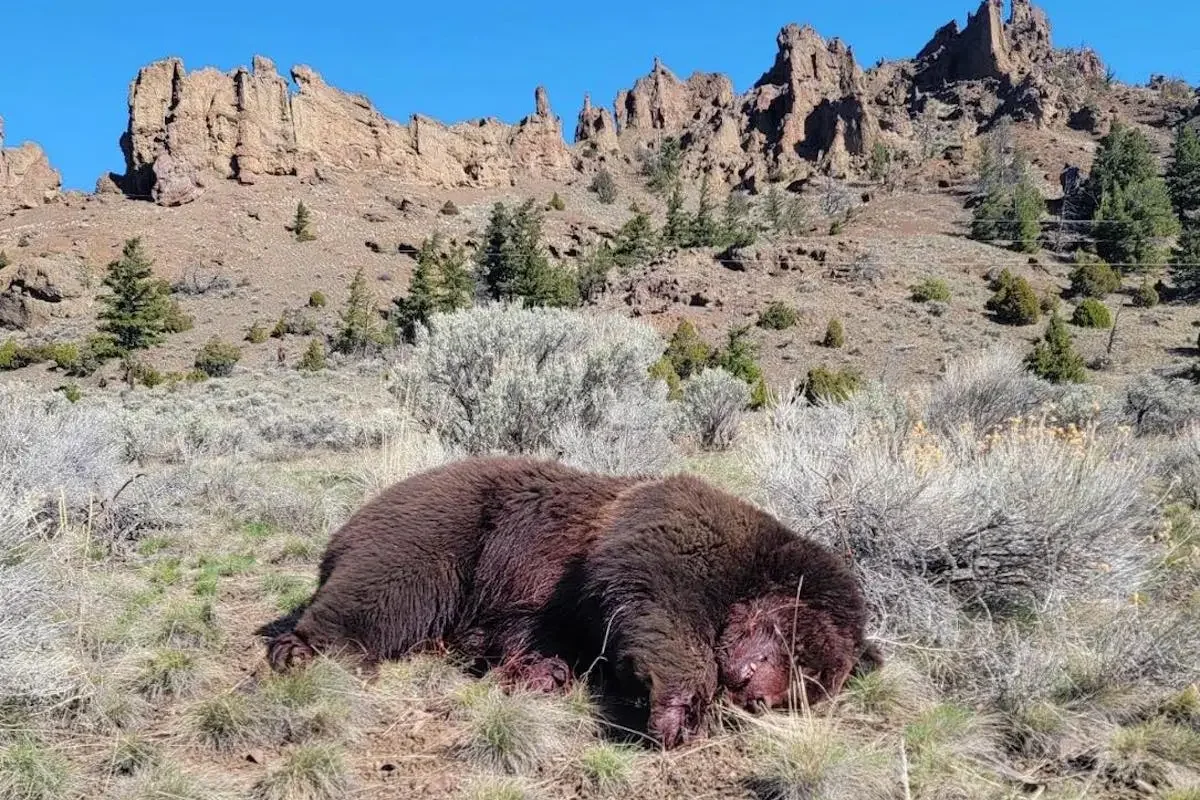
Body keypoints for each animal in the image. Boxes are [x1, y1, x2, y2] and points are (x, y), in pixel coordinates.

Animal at [262, 455, 878, 753]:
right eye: (795, 652)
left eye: (808, 690)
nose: (759, 696)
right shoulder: (669, 534)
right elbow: (656, 606)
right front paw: (678, 710)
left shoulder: (555, 609)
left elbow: (561, 636)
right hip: (451, 528)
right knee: (388, 582)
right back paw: (303, 649)